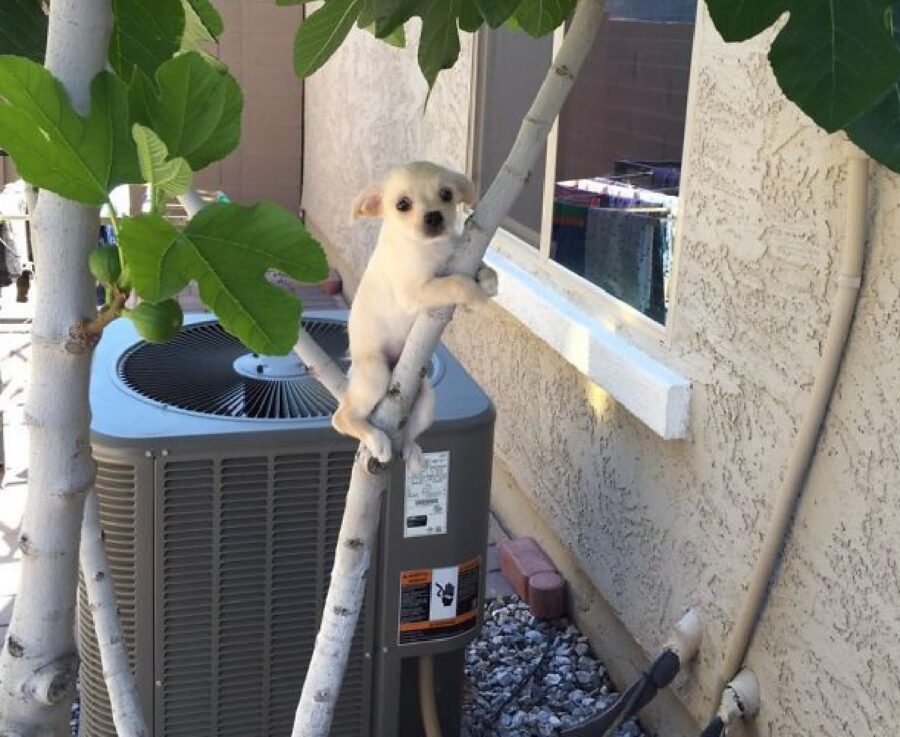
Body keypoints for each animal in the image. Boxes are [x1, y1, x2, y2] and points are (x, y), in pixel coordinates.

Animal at [332, 163, 500, 468]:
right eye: (402, 205)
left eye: (446, 194)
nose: (433, 216)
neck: (432, 248)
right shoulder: (415, 291)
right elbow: (456, 283)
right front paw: (476, 295)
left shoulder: (460, 255)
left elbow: (478, 268)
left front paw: (488, 281)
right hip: (375, 375)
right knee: (342, 418)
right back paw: (377, 439)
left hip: (426, 401)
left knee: (407, 432)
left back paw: (410, 451)